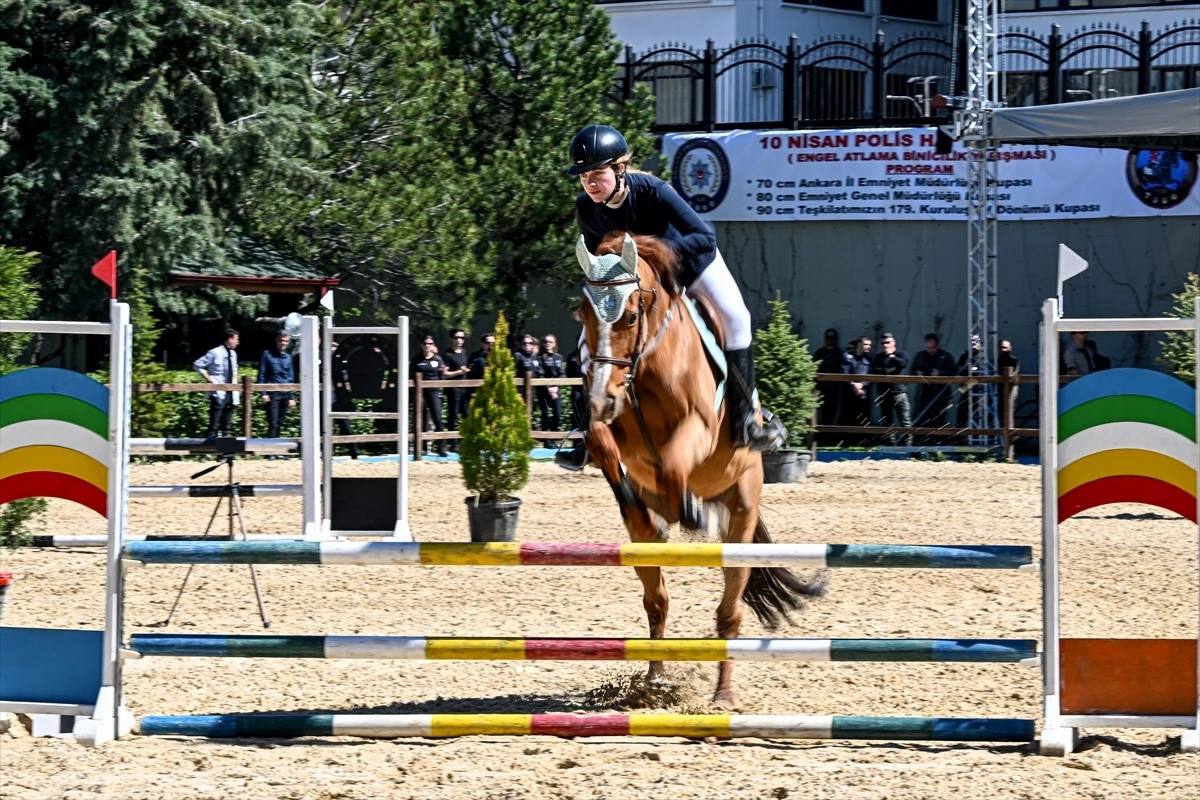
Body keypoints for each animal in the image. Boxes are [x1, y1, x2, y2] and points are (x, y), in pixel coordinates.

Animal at [573, 230, 825, 705]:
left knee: (729, 612)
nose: (600, 399)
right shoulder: (611, 424)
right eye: (582, 313)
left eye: (630, 316)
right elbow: (602, 443)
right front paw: (638, 500)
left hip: (741, 517)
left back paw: (722, 696)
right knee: (657, 600)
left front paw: (690, 510)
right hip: (647, 548)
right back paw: (653, 683)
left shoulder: (700, 427)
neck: (645, 365)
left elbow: (673, 462)